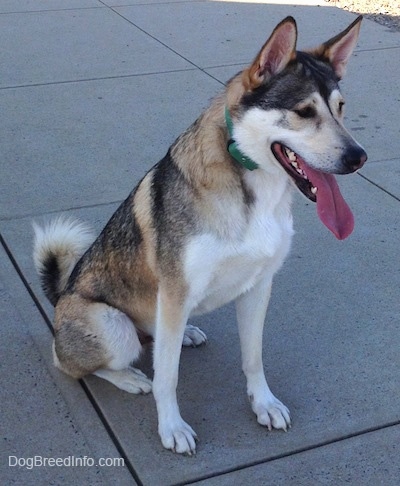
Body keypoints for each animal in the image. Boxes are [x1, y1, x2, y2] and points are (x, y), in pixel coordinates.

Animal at [33, 16, 366, 456]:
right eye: (304, 112)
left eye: (341, 108)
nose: (358, 157)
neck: (253, 190)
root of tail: (60, 297)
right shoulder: (174, 292)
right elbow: (167, 378)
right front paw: (172, 427)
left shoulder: (259, 285)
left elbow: (253, 357)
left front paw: (264, 404)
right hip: (112, 327)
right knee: (75, 362)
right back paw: (129, 377)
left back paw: (185, 334)